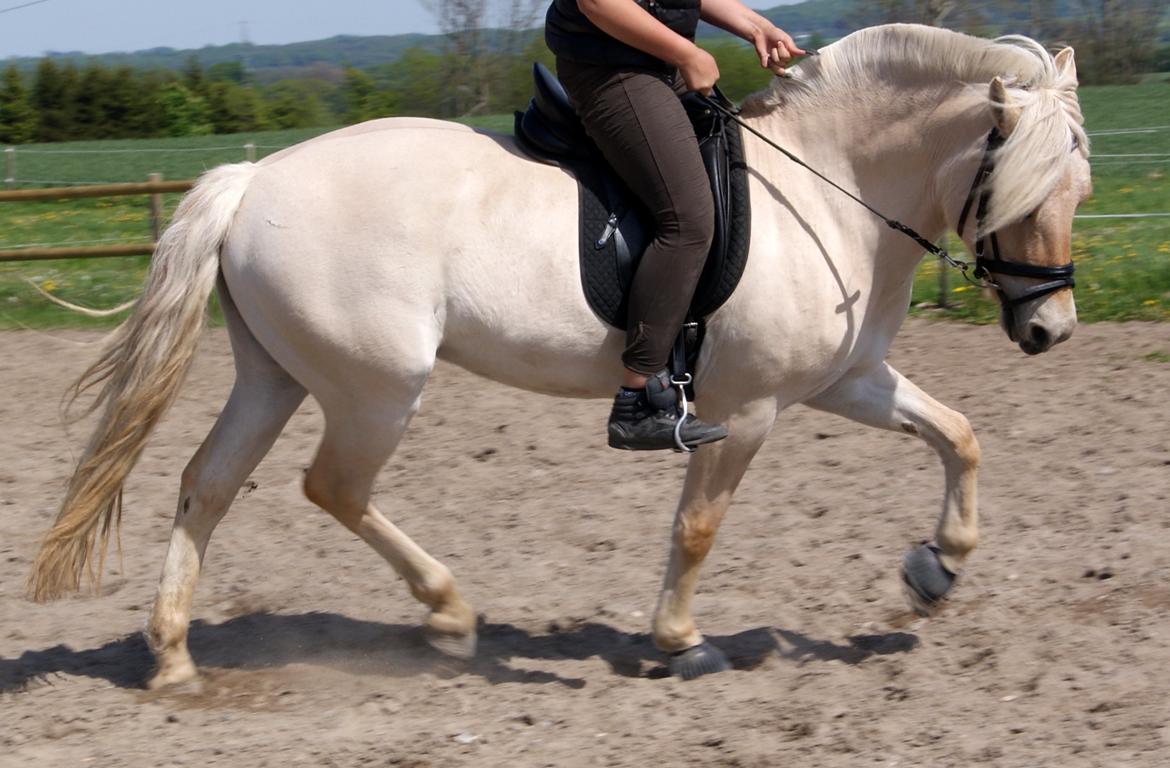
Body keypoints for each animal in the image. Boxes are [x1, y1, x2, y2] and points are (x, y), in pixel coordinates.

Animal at [25, 22, 1085, 683]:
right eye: (1025, 192)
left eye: (1076, 191)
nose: (1052, 332)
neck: (827, 191)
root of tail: (253, 181)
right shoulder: (743, 411)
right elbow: (698, 528)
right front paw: (680, 642)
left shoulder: (844, 381)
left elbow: (959, 434)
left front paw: (937, 569)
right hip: (378, 387)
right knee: (333, 487)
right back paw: (450, 614)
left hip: (276, 374)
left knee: (206, 484)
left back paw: (173, 657)